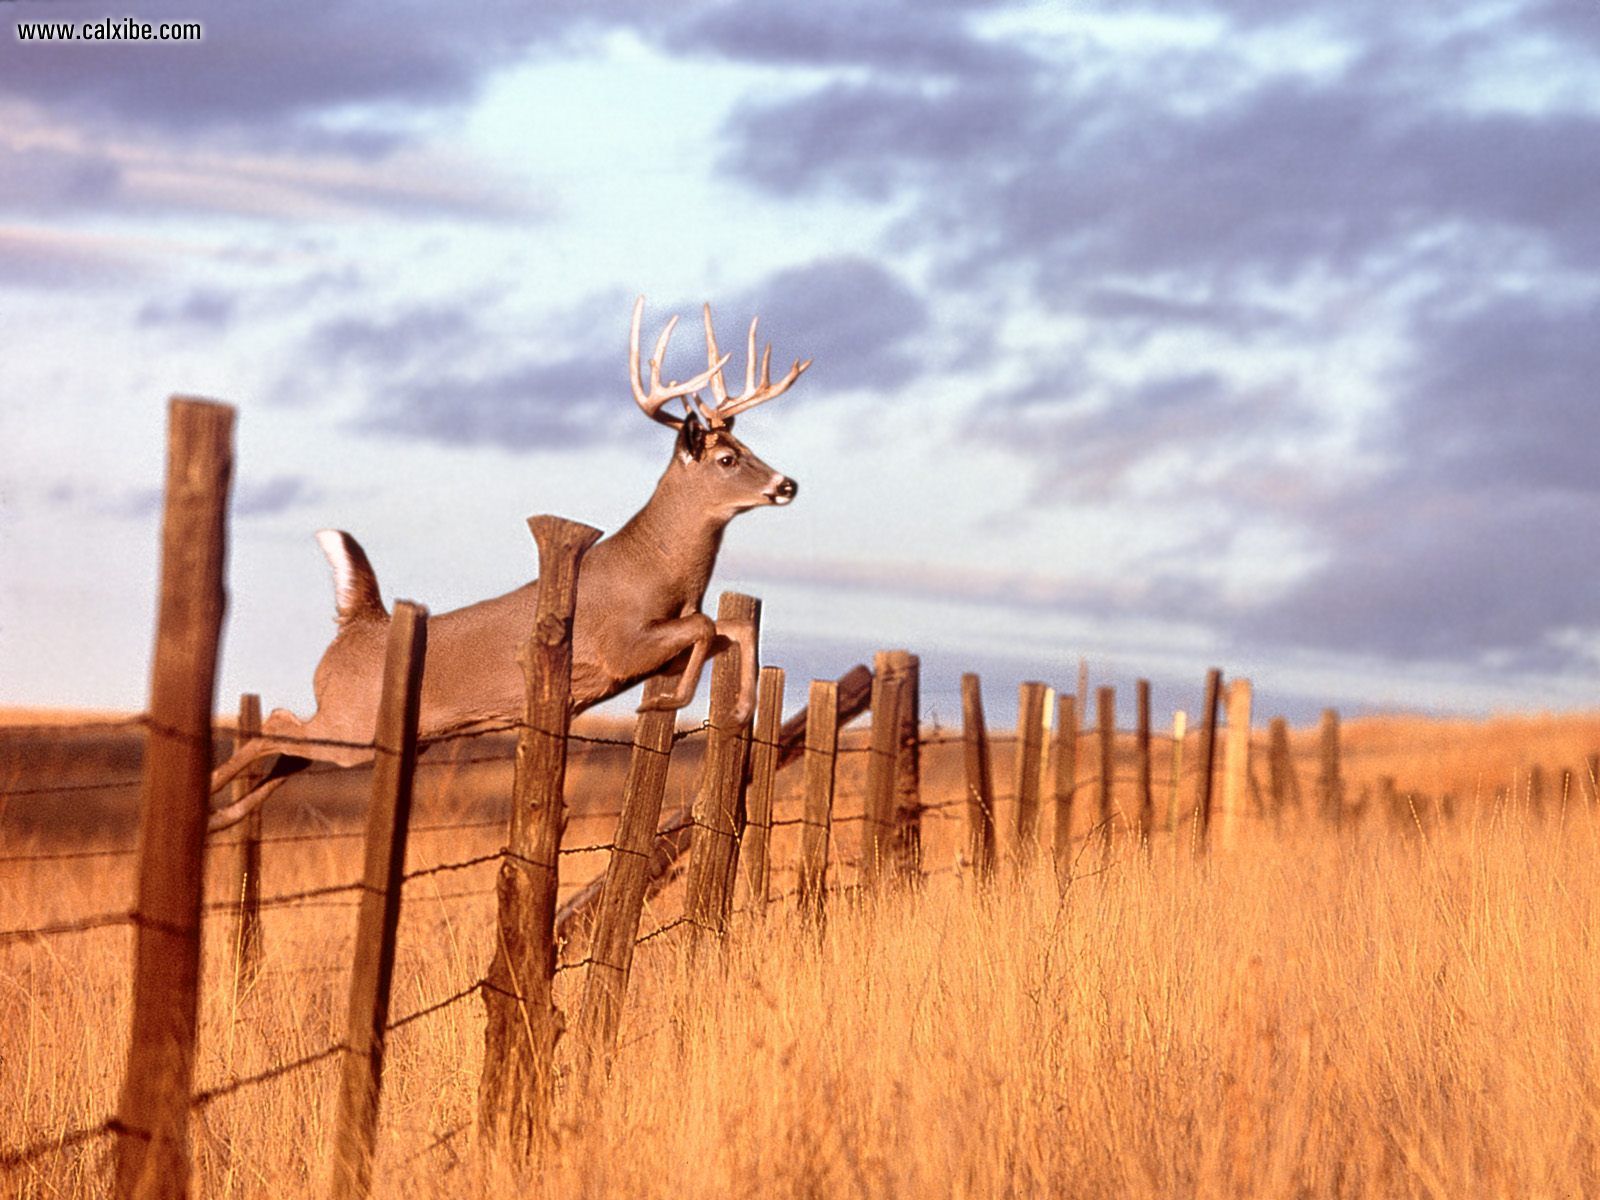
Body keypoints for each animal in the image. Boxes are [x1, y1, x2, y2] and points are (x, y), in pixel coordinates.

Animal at [209, 296, 812, 832]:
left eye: (747, 448)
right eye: (727, 458)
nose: (787, 484)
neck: (658, 571)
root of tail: (360, 625)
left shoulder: (659, 641)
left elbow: (729, 626)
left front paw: (739, 709)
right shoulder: (619, 647)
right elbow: (707, 625)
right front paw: (671, 704)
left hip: (369, 733)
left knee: (290, 750)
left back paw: (222, 816)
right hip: (354, 719)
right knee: (277, 723)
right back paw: (206, 797)